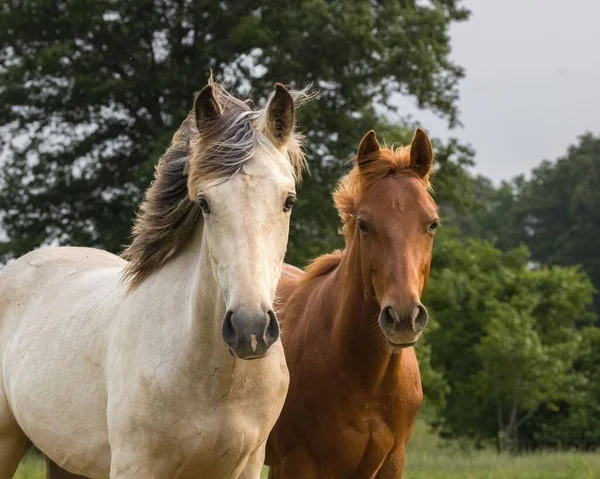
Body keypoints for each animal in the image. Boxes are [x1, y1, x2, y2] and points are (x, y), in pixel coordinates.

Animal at [0, 80, 310, 478]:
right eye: (205, 204)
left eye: (288, 201)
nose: (250, 329)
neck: (217, 381)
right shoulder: (136, 465)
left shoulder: (247, 466)